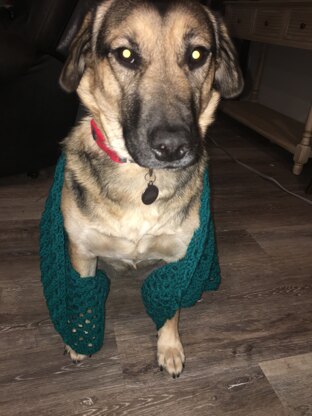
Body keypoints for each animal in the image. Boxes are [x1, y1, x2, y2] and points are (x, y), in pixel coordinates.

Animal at [58, 0, 244, 376]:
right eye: (126, 54)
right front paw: (80, 339)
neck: (142, 179)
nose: (173, 147)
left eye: (198, 54)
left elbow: (169, 308)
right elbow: (84, 298)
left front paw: (169, 348)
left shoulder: (179, 256)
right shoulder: (81, 252)